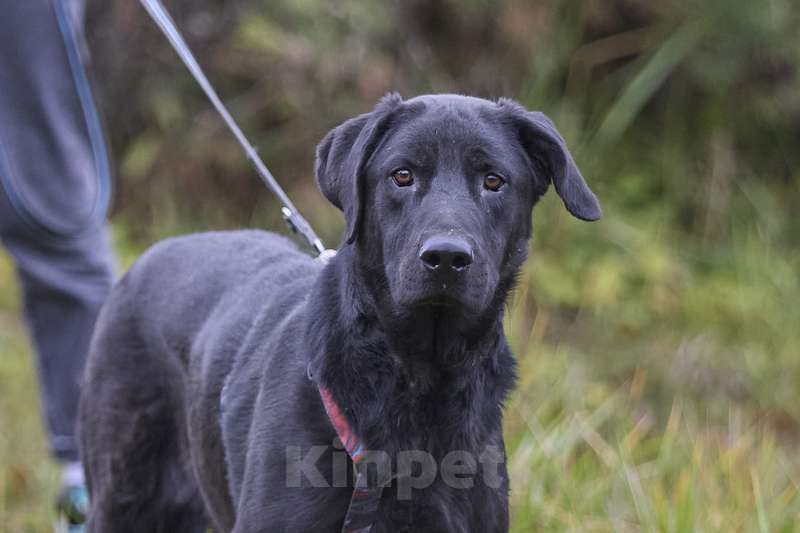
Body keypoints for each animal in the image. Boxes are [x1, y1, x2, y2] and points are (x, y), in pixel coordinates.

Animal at [79, 93, 600, 528]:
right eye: (402, 175)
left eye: (494, 181)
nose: (446, 257)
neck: (419, 376)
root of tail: (144, 260)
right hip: (124, 499)